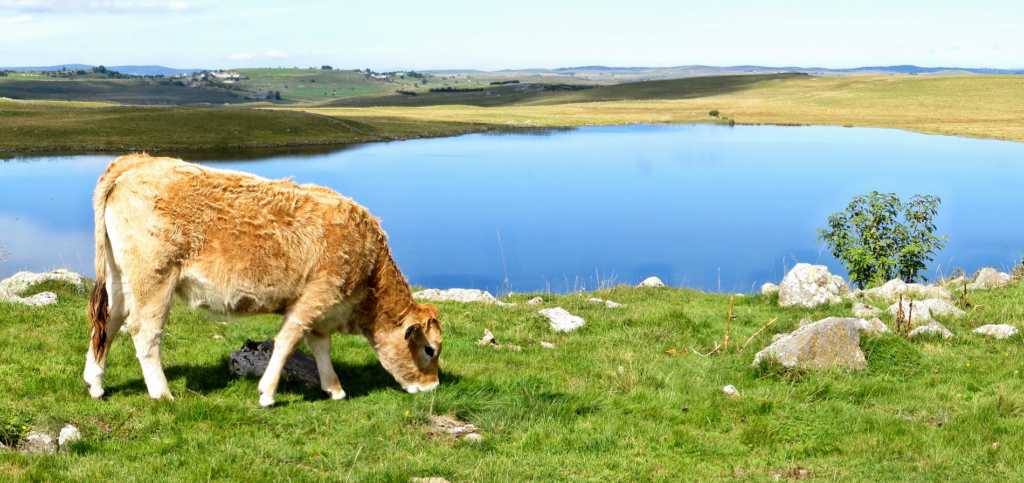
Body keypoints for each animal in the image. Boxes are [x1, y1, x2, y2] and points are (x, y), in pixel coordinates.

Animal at [81, 152, 442, 405]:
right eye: (430, 350)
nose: (433, 387)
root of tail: (139, 161)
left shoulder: (323, 307)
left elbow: (320, 346)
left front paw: (334, 389)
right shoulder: (317, 295)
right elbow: (288, 340)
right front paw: (267, 393)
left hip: (120, 277)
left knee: (108, 321)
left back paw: (95, 384)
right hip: (154, 277)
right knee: (145, 331)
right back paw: (162, 393)